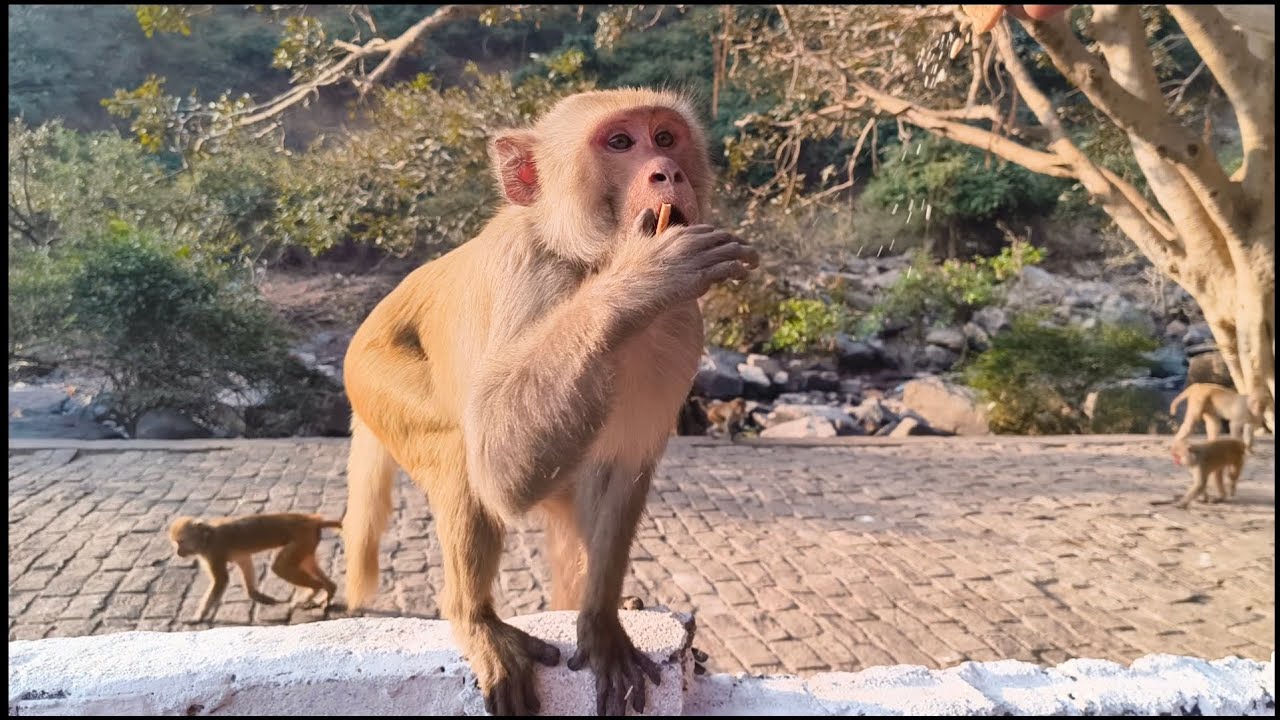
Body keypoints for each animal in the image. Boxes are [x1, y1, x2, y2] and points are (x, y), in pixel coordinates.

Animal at [168, 513, 342, 625]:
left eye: (181, 542)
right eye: (175, 543)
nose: (178, 552)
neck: (206, 536)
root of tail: (313, 520)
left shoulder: (214, 551)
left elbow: (221, 580)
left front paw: (198, 616)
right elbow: (245, 561)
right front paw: (257, 595)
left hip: (302, 538)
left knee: (280, 567)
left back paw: (316, 588)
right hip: (308, 541)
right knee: (307, 563)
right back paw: (329, 589)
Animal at [340, 88, 758, 716]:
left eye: (664, 137)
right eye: (620, 142)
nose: (668, 171)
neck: (588, 263)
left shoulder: (685, 327)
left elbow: (622, 471)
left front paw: (601, 624)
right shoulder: (527, 272)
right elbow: (498, 467)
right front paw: (642, 279)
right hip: (372, 376)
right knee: (460, 453)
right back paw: (474, 619)